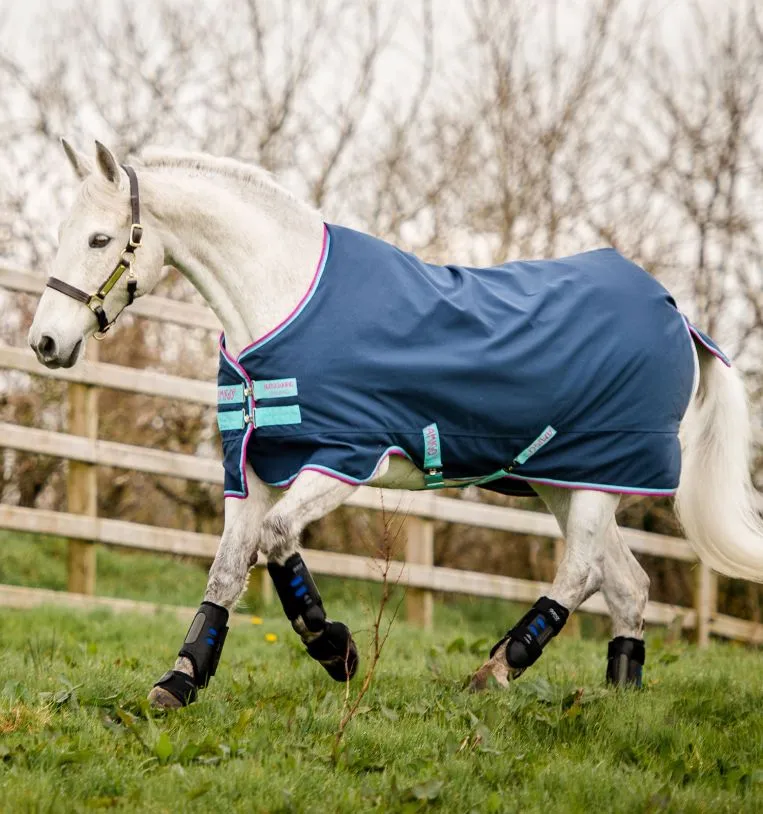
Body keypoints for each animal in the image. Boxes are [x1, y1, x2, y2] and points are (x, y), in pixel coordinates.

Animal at [28, 140, 763, 708]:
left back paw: (494, 672)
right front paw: (180, 681)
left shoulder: (342, 459)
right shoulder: (250, 469)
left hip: (598, 479)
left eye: (99, 239)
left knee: (581, 573)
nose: (45, 343)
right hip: (567, 480)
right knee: (627, 584)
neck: (283, 301)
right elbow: (226, 572)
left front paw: (336, 650)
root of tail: (677, 314)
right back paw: (618, 700)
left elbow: (276, 541)